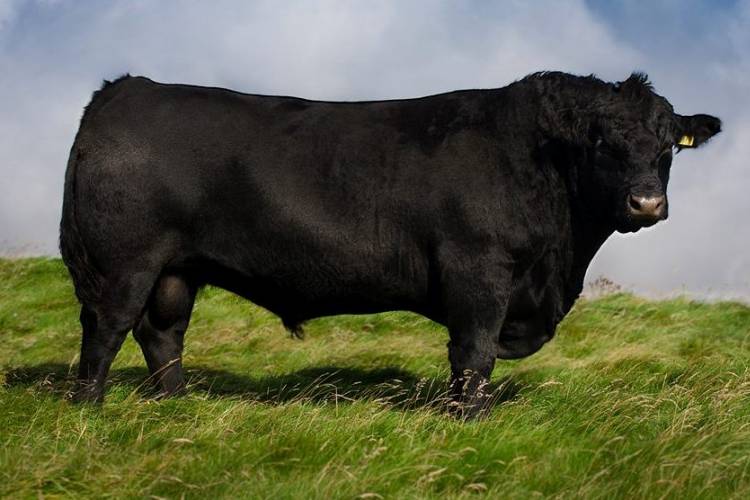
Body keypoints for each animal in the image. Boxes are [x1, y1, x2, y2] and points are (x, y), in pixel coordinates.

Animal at [60, 71, 721, 418]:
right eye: (604, 142)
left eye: (668, 145)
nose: (646, 204)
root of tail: (125, 88)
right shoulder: (479, 271)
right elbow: (474, 353)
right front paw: (470, 418)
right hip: (125, 262)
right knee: (106, 329)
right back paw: (89, 409)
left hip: (176, 269)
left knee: (162, 334)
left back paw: (177, 405)